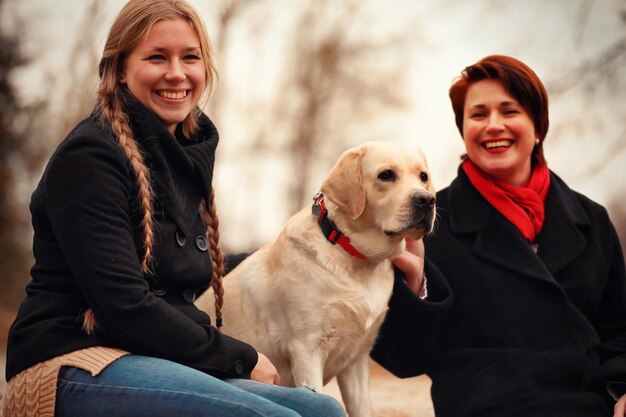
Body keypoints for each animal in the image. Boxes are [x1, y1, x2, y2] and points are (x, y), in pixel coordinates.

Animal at [196, 141, 434, 416]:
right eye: (386, 175)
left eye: (423, 176)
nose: (427, 200)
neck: (354, 256)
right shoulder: (307, 350)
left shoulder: (356, 361)